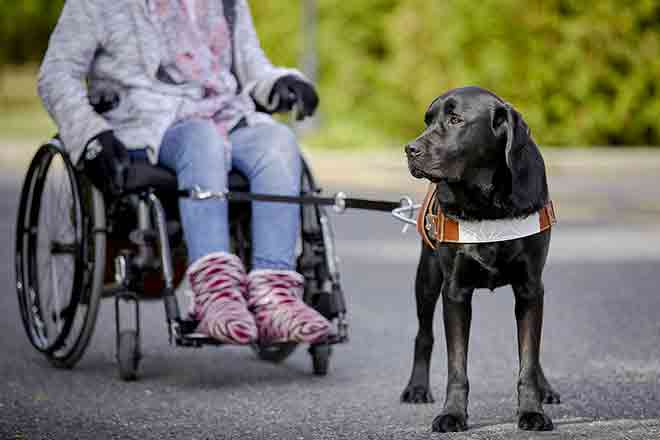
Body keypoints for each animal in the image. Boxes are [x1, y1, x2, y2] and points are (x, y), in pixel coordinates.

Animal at [400, 87, 560, 434]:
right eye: (427, 120)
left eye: (455, 119)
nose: (410, 149)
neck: (487, 203)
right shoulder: (455, 291)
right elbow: (456, 366)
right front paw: (452, 414)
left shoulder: (530, 287)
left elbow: (528, 357)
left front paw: (532, 411)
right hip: (427, 278)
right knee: (423, 334)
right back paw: (416, 388)